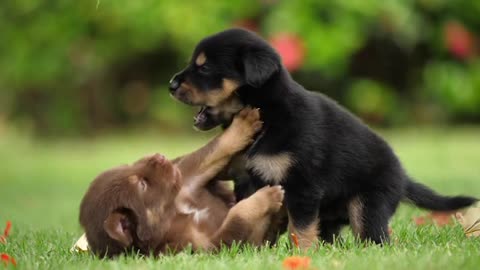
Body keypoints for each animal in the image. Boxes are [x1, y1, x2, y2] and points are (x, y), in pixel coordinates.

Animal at [79, 108, 284, 258]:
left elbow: (214, 149)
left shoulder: (188, 178)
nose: (160, 157)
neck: (173, 212)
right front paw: (269, 196)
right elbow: (237, 217)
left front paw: (244, 123)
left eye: (128, 167)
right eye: (142, 185)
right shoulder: (208, 246)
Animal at [169, 28, 476, 248]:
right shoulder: (248, 181)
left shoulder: (302, 185)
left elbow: (300, 229)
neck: (269, 115)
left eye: (204, 68)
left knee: (375, 238)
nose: (171, 84)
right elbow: (255, 214)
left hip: (368, 205)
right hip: (333, 215)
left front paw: (302, 254)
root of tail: (402, 177)